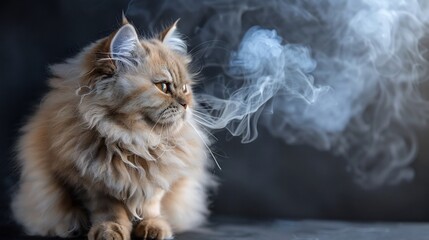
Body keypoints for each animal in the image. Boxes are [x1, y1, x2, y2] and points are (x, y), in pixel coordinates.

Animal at [11, 17, 216, 240]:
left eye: (185, 88)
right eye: (163, 87)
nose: (186, 104)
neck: (135, 142)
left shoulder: (158, 180)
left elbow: (150, 207)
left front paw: (154, 228)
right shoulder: (92, 186)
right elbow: (109, 212)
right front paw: (109, 231)